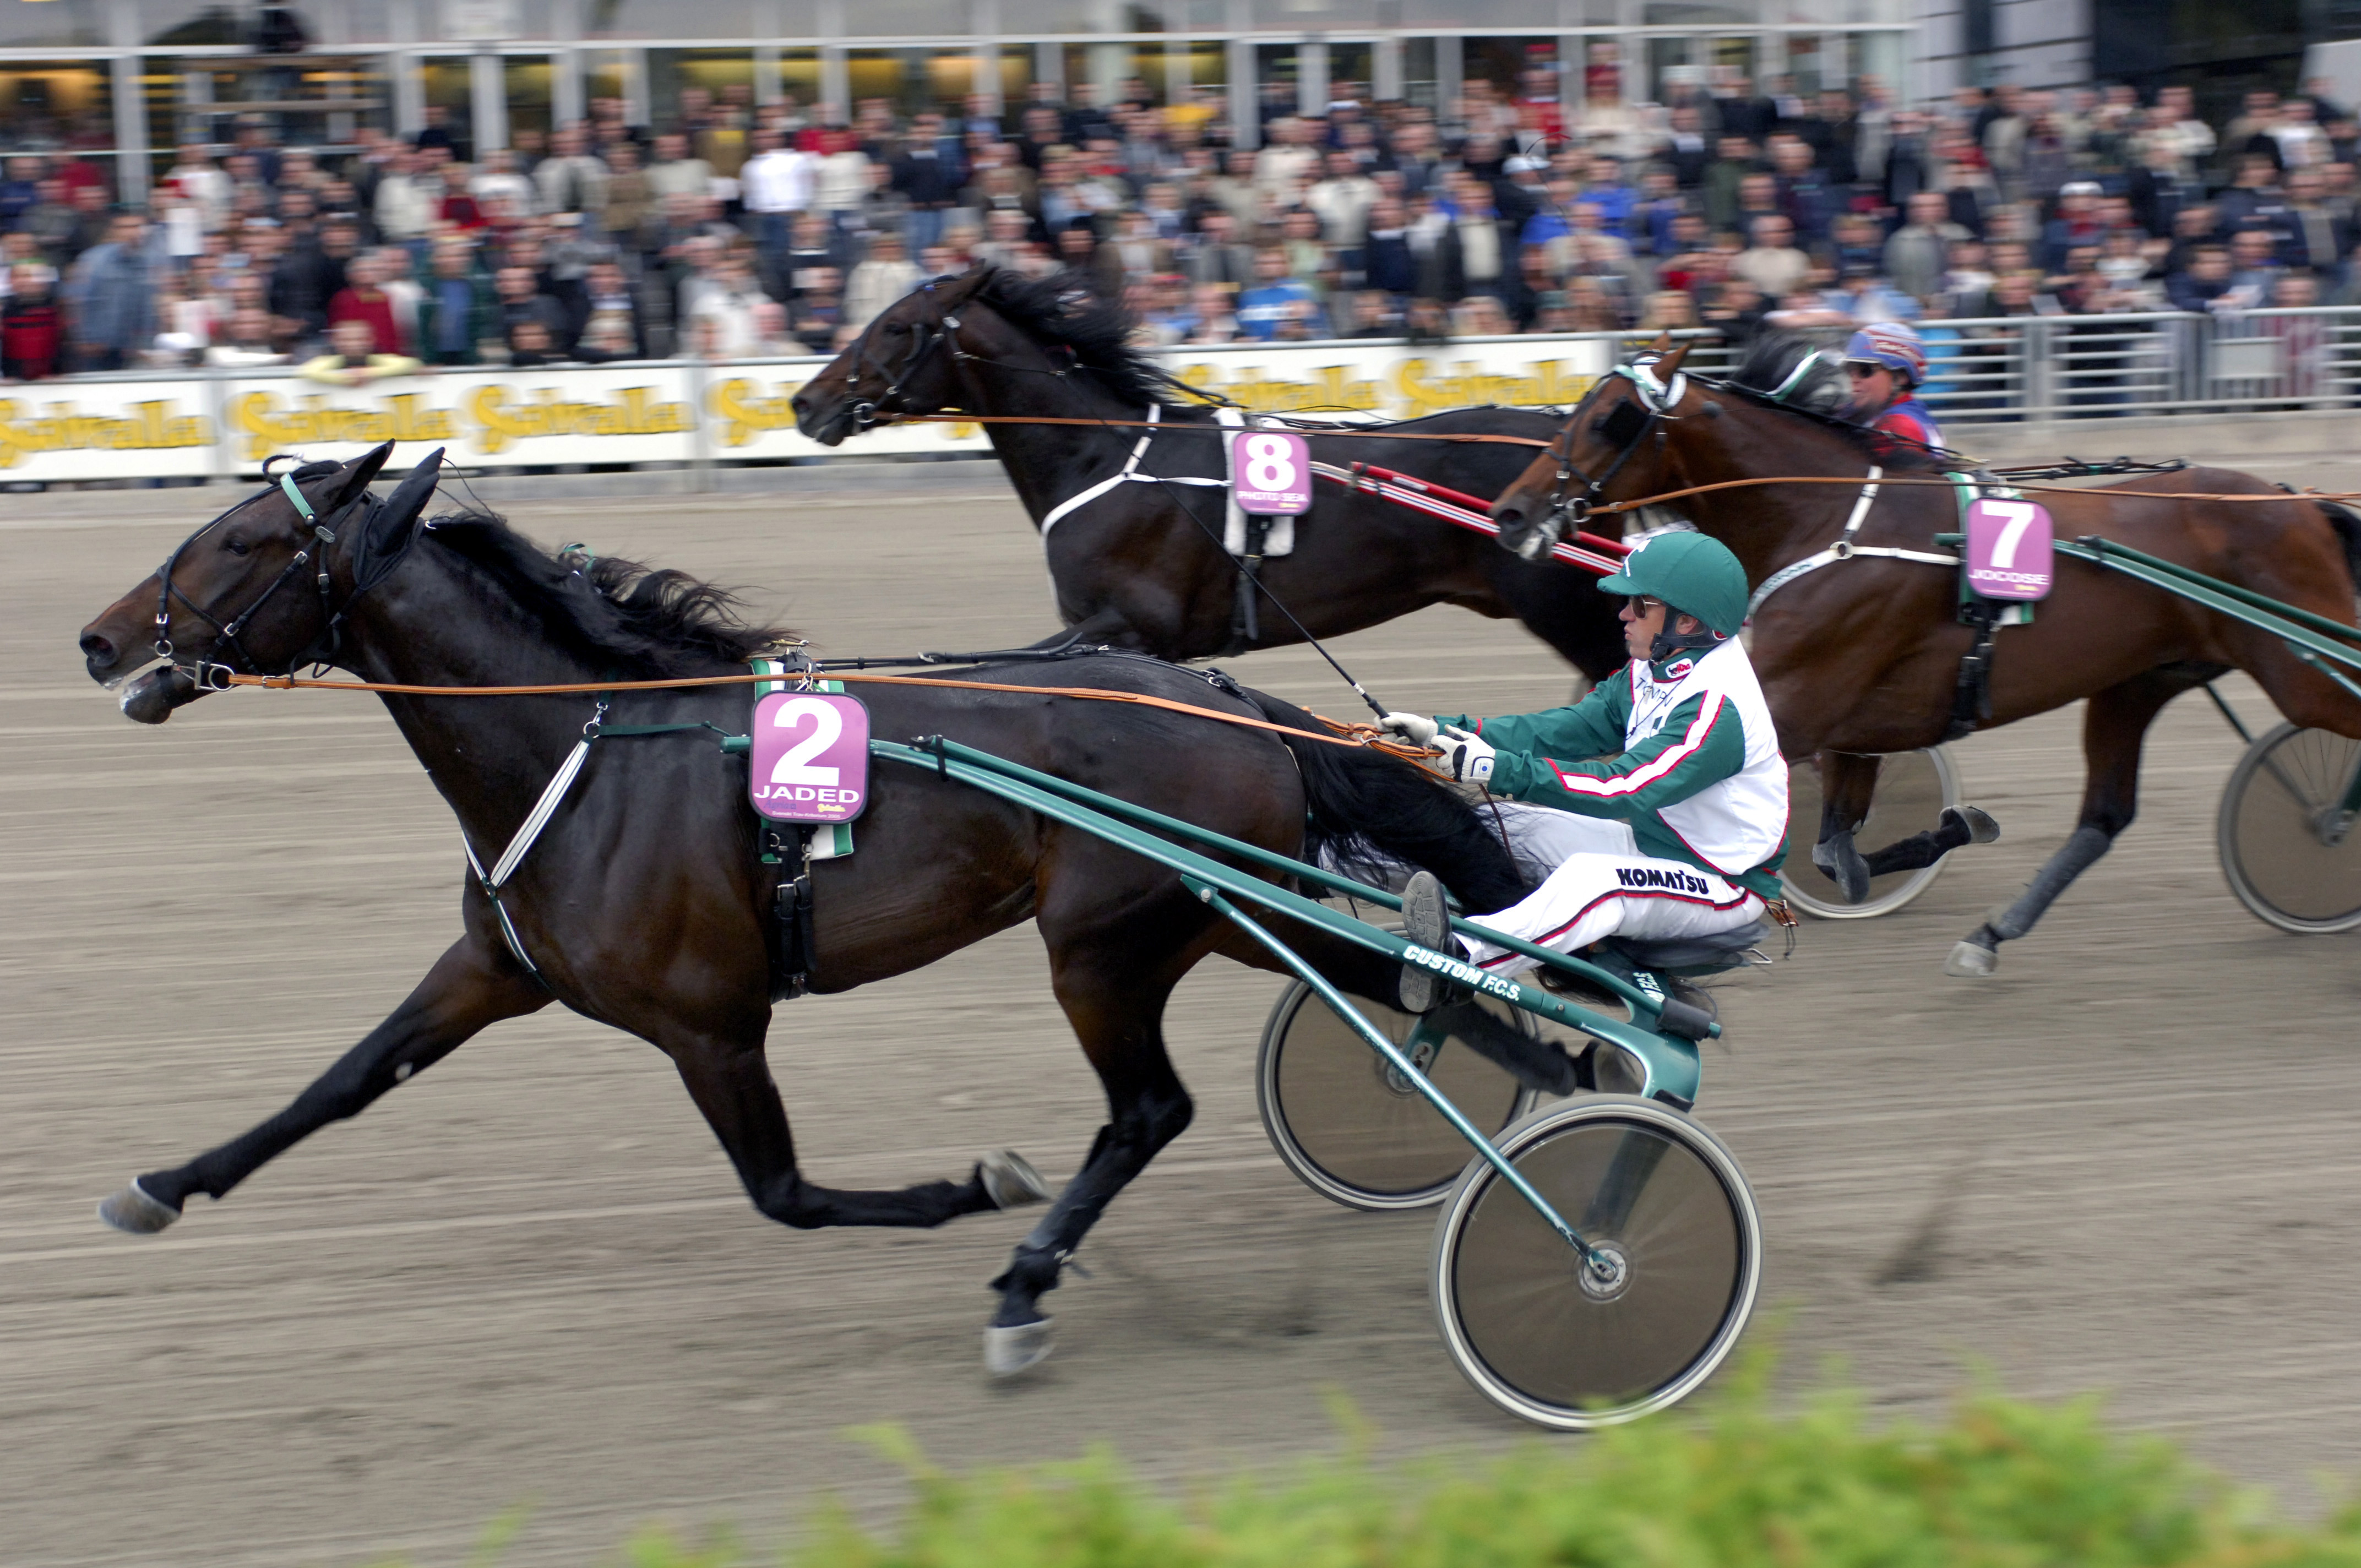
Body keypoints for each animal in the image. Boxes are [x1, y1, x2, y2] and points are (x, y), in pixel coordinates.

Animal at [1492, 335, 2361, 973]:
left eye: (1609, 417)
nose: (1512, 513)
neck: (1831, 517)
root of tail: (2303, 503)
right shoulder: (1848, 724)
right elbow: (1834, 848)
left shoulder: (1792, 707)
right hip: (2139, 679)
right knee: (2104, 817)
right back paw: (1990, 936)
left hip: (2296, 671)